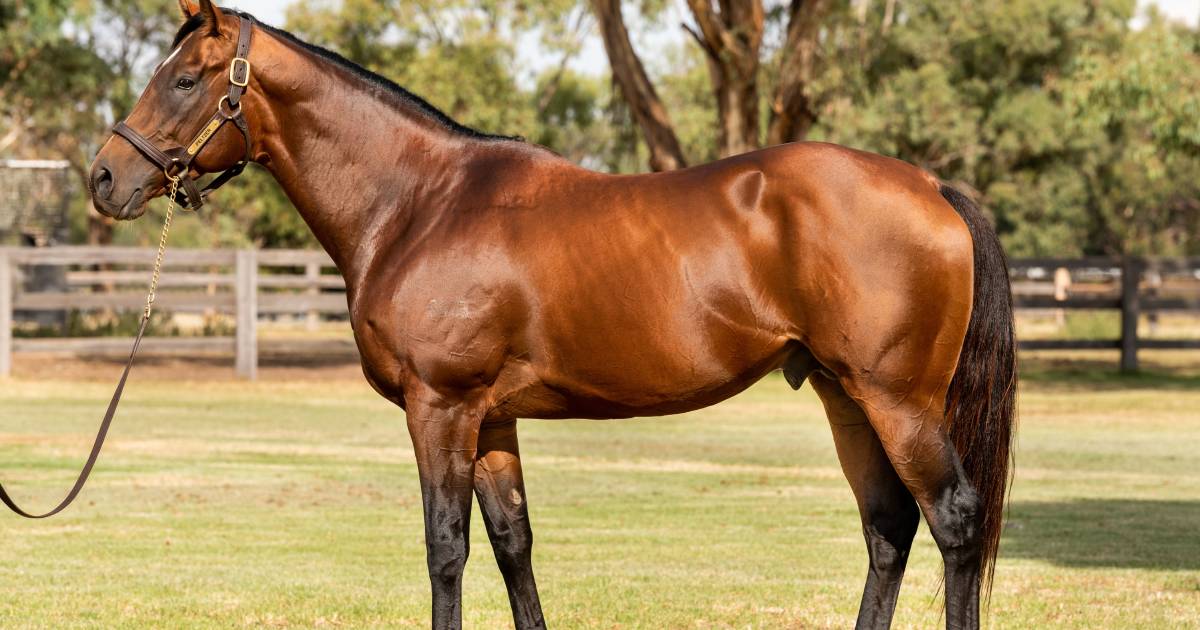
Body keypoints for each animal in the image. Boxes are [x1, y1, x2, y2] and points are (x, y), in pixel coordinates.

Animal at [88, 2, 1017, 624]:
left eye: (182, 79)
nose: (103, 178)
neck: (420, 203)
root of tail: (932, 184)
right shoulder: (492, 418)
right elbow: (513, 545)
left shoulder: (441, 407)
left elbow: (446, 548)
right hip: (843, 395)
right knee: (889, 530)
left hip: (897, 401)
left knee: (955, 522)